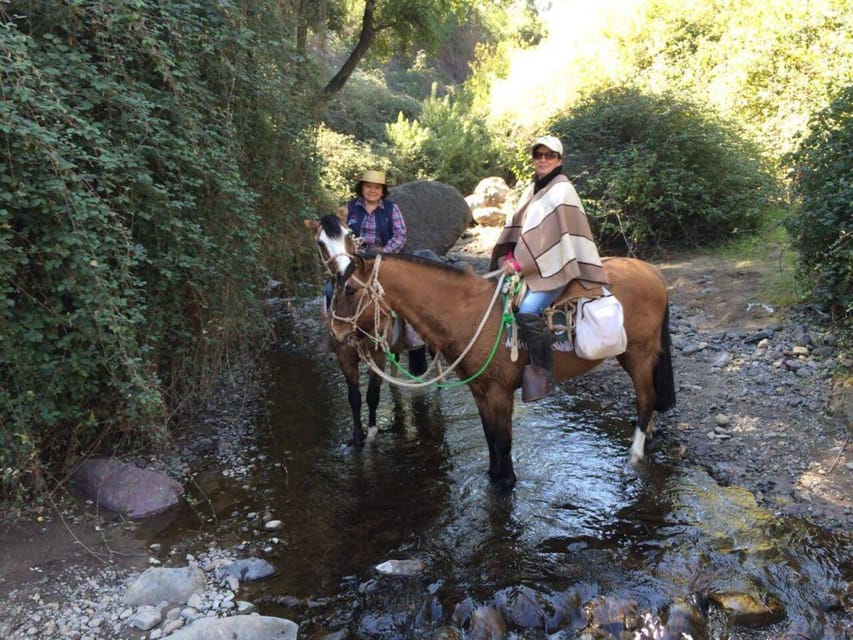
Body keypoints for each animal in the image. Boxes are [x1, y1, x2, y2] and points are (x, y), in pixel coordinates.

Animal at [312, 214, 672, 484]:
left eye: (349, 289)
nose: (335, 332)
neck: (470, 313)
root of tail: (652, 273)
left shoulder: (500, 391)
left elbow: (503, 439)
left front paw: (506, 481)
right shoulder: (479, 389)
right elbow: (489, 436)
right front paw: (492, 475)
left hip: (637, 354)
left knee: (645, 399)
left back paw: (634, 456)